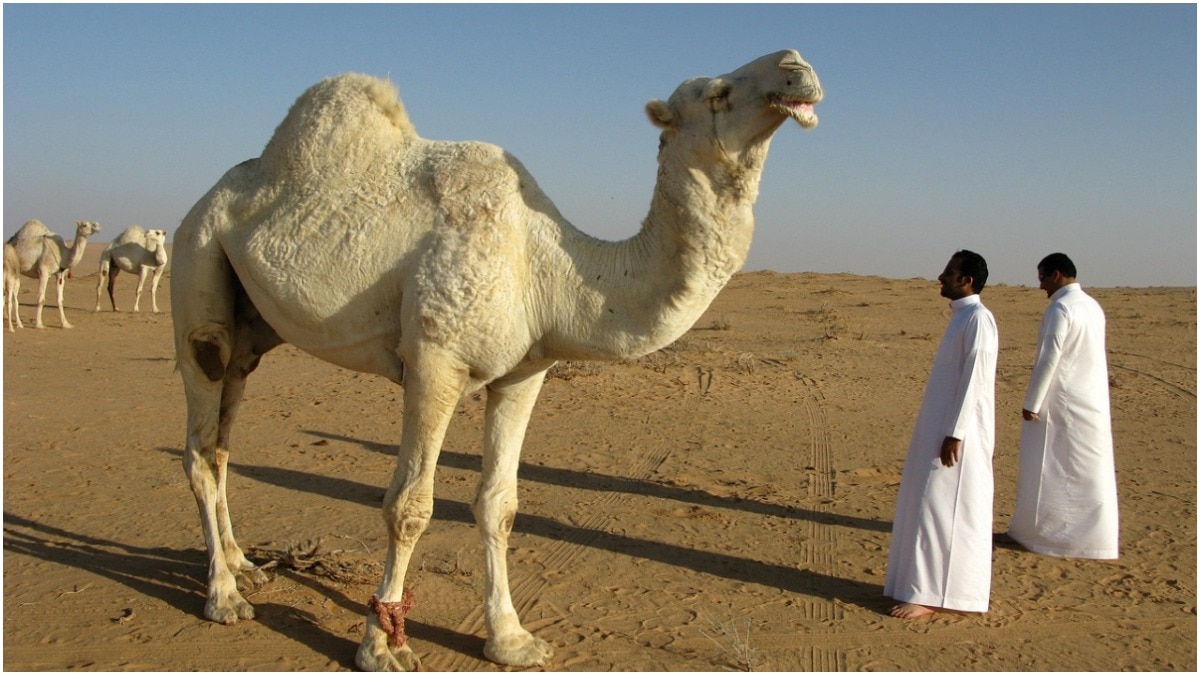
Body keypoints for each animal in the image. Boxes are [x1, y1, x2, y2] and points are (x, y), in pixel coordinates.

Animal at [171, 49, 822, 671]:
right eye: (717, 93)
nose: (796, 67)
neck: (549, 268)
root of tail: (204, 200)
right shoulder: (434, 363)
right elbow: (409, 507)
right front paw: (382, 647)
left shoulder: (524, 373)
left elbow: (499, 505)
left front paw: (511, 639)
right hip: (197, 260)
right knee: (201, 441)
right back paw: (224, 597)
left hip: (250, 328)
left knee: (224, 438)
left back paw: (244, 564)